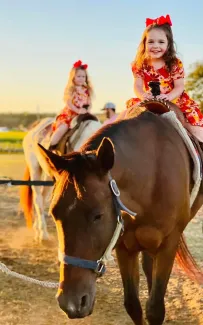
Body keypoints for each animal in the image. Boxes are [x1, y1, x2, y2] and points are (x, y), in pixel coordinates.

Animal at [36, 102, 203, 324]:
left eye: (98, 215)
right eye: (55, 214)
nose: (70, 303)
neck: (152, 175)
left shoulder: (168, 245)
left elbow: (155, 309)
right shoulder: (124, 247)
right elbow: (133, 305)